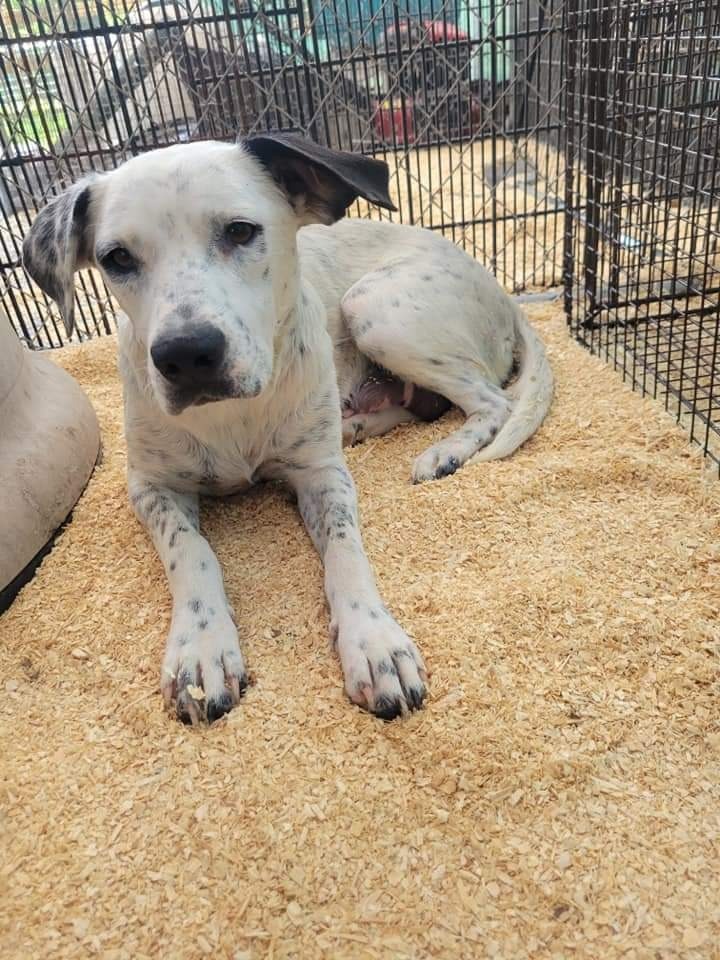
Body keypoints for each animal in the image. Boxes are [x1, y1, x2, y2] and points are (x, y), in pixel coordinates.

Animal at [21, 133, 552, 720]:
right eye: (116, 258)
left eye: (239, 231)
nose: (186, 354)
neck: (232, 413)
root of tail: (502, 292)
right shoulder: (151, 487)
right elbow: (191, 551)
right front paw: (202, 649)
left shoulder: (323, 478)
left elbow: (345, 551)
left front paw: (374, 642)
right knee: (426, 404)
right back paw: (359, 423)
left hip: (373, 307)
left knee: (493, 402)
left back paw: (444, 453)